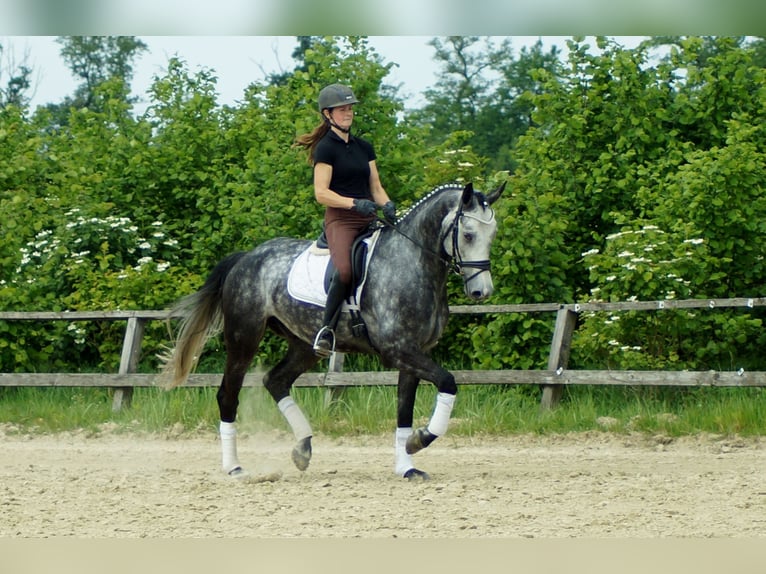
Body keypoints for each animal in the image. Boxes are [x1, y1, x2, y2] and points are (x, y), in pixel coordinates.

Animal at [159, 180, 508, 482]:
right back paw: (234, 467)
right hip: (243, 337)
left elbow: (404, 410)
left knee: (276, 381)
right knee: (228, 395)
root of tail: (247, 258)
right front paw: (419, 440)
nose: (482, 292)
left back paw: (302, 449)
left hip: (303, 344)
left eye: (492, 234)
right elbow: (448, 382)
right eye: (468, 234)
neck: (412, 262)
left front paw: (407, 465)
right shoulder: (398, 350)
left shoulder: (414, 353)